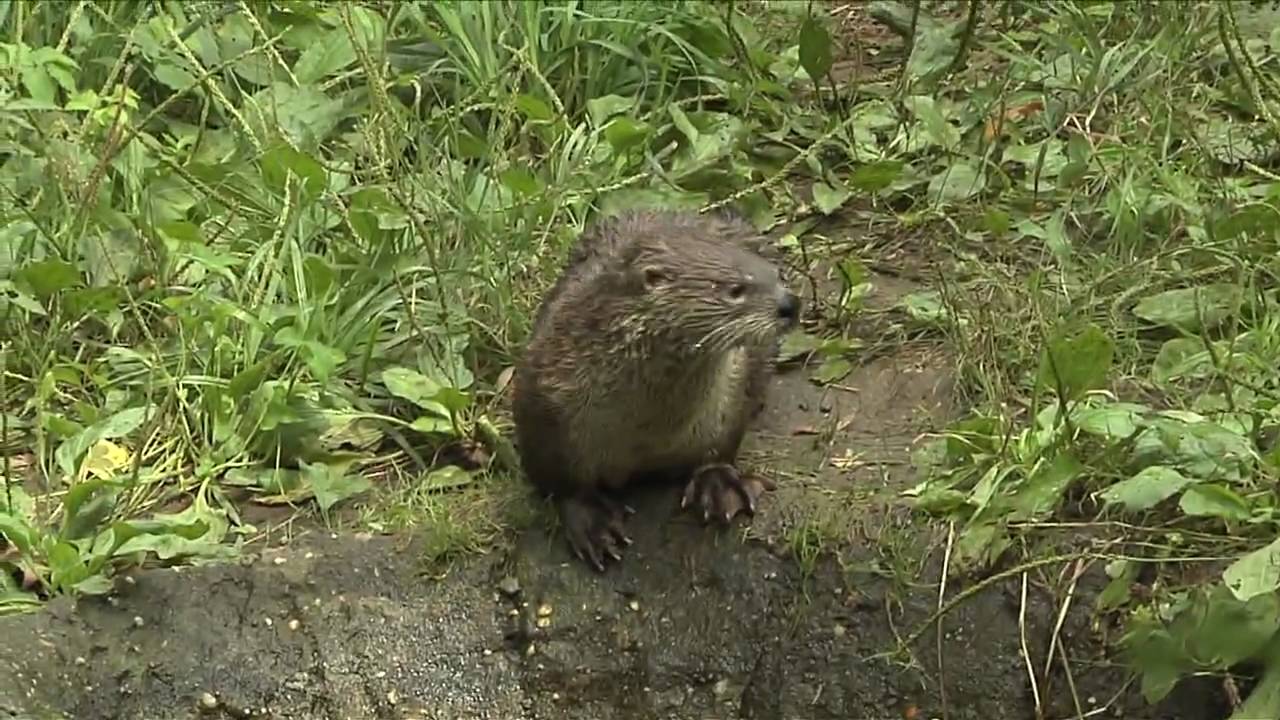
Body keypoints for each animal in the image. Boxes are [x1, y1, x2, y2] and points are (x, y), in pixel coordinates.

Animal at [511, 208, 800, 571]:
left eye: (776, 275)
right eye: (735, 289)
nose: (791, 304)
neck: (646, 430)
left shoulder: (732, 398)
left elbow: (720, 449)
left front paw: (718, 484)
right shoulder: (543, 401)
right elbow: (560, 482)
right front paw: (592, 521)